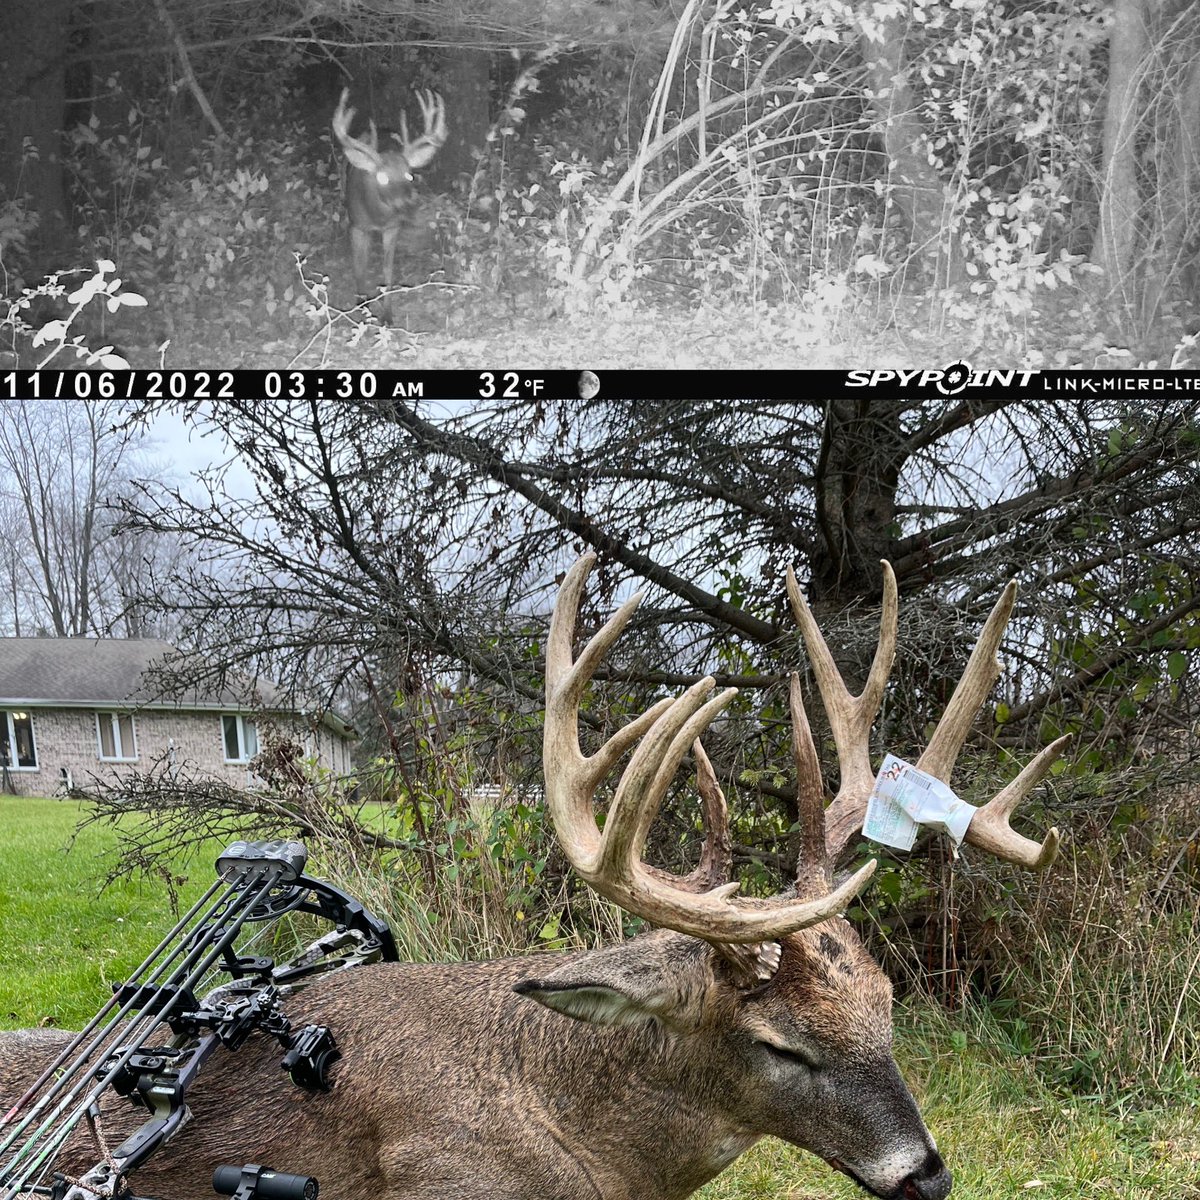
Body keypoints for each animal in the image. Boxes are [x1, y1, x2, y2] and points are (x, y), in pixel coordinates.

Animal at [331, 87, 447, 317]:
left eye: (409, 175)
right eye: (382, 177)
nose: (408, 204)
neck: (377, 217)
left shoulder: (392, 227)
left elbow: (388, 269)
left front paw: (387, 315)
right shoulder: (356, 225)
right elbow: (359, 265)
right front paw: (362, 305)